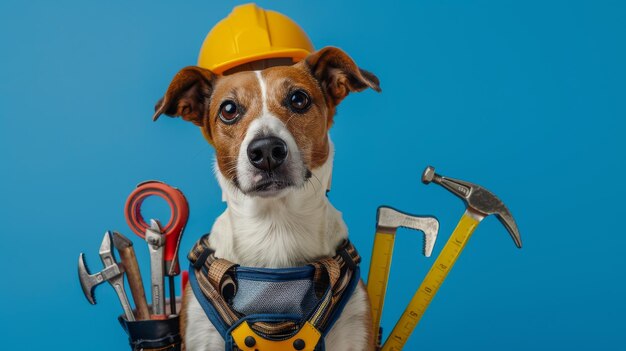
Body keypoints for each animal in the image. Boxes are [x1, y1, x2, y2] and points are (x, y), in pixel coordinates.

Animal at [152, 47, 380, 351]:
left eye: (298, 99)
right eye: (228, 109)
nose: (267, 150)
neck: (276, 227)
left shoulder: (354, 330)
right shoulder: (202, 337)